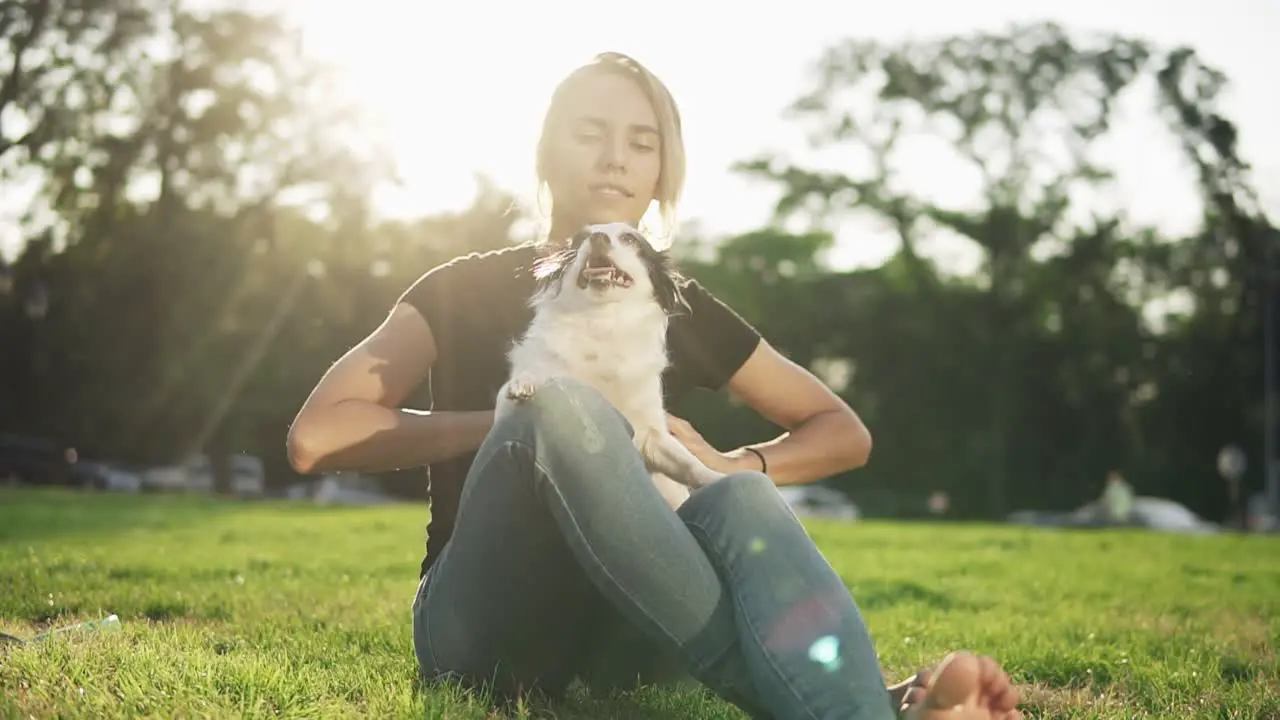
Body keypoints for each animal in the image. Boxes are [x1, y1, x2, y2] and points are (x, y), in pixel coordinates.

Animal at [494, 221, 727, 507]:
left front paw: (718, 478)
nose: (597, 236)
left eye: (630, 239)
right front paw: (526, 380)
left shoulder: (653, 437)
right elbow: (532, 375)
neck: (601, 321)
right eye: (580, 239)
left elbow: (691, 465)